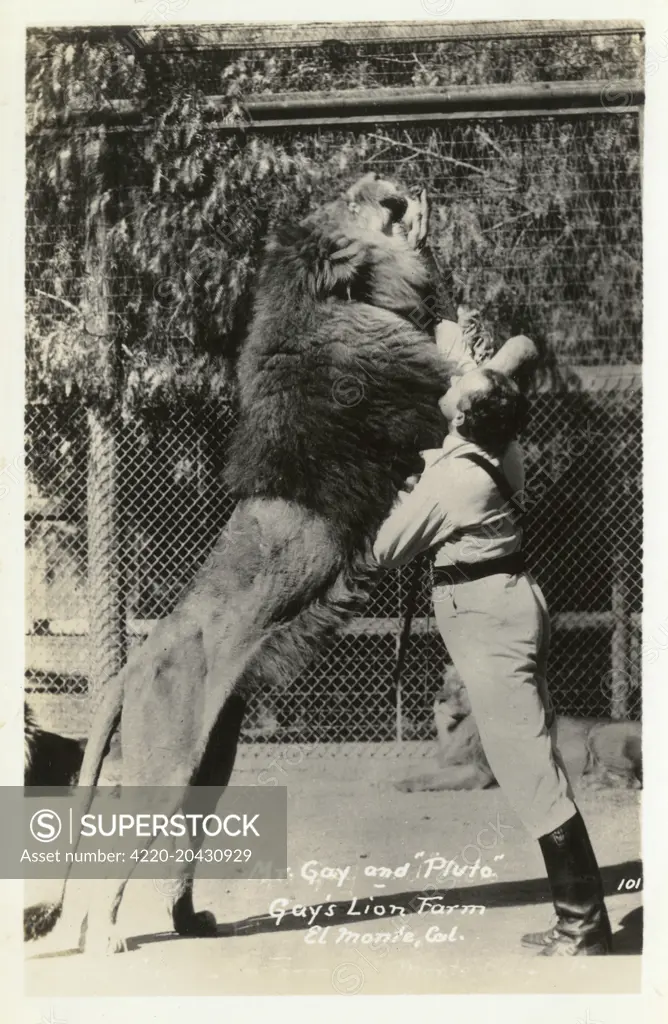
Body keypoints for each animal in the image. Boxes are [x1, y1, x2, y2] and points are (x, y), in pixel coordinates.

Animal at [26, 172, 536, 954]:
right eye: (371, 203)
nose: (399, 183)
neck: (343, 298)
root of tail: (129, 670)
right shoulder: (436, 394)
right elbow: (496, 360)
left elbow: (503, 342)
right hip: (162, 765)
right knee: (118, 850)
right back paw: (103, 938)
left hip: (209, 767)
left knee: (181, 852)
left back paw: (190, 921)